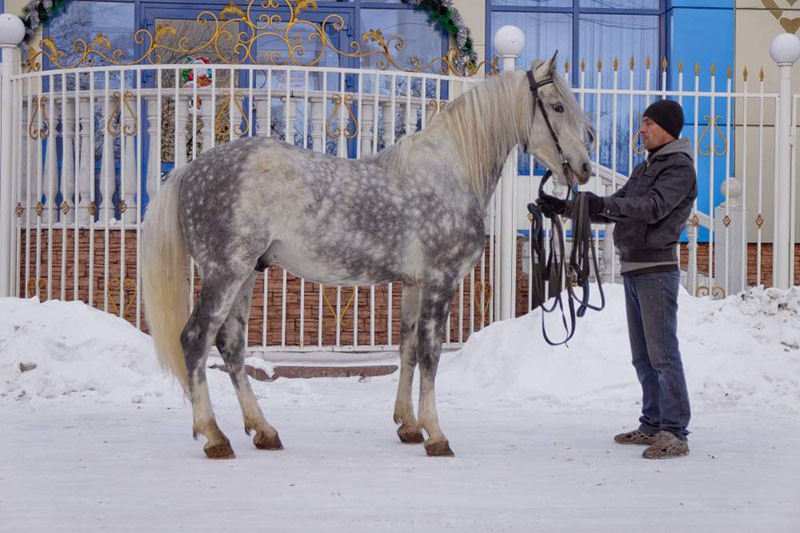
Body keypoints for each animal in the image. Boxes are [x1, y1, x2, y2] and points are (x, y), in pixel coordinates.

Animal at [142, 55, 592, 462]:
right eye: (557, 107)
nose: (585, 168)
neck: (450, 171)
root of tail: (188, 172)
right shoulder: (441, 279)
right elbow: (431, 353)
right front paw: (436, 434)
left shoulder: (414, 285)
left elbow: (407, 348)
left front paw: (408, 425)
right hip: (225, 272)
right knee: (196, 339)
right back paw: (214, 437)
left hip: (246, 273)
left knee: (230, 344)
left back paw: (263, 430)